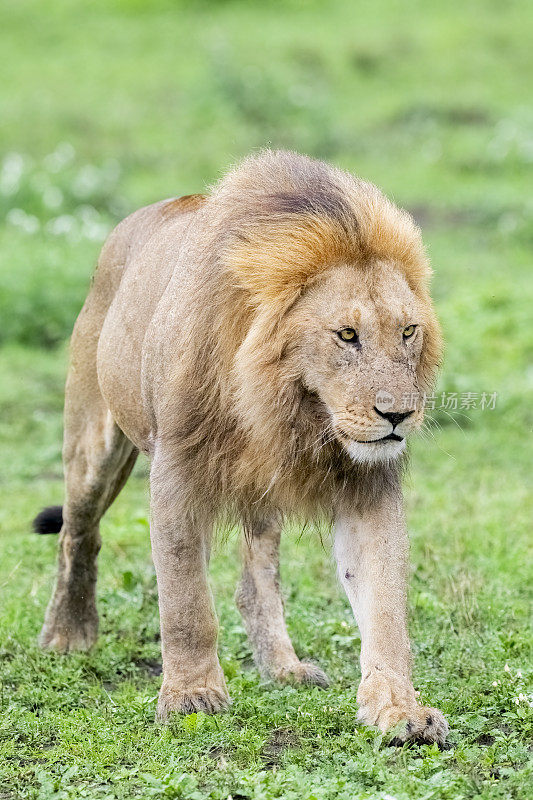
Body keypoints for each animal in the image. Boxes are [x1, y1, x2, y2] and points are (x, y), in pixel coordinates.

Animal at [34, 148, 448, 744]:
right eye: (347, 335)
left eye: (409, 332)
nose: (398, 415)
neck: (288, 405)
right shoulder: (176, 472)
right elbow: (186, 602)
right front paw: (191, 696)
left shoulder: (368, 485)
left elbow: (385, 606)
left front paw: (398, 710)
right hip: (94, 441)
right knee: (77, 532)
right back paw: (68, 635)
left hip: (258, 488)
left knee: (256, 584)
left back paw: (284, 668)